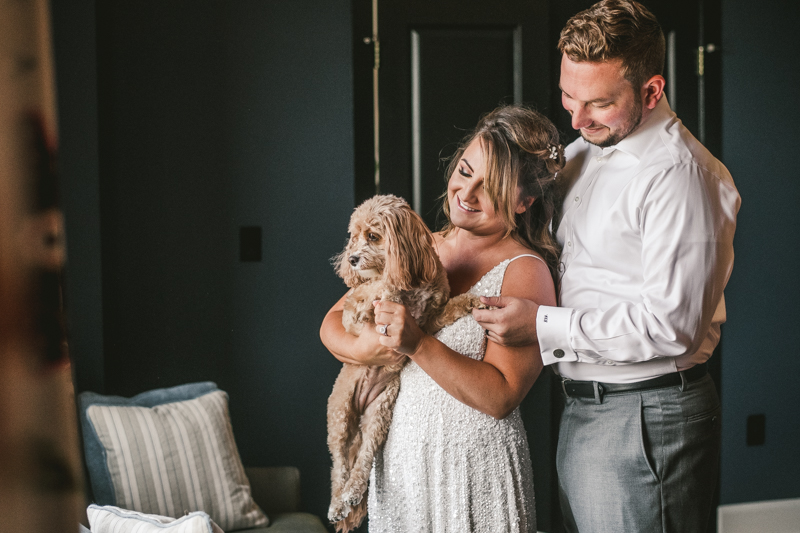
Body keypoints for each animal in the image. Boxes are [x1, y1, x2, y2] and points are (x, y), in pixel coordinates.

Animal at [326, 195, 478, 532]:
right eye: (353, 236)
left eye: (372, 236)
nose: (352, 259)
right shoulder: (354, 311)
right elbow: (371, 295)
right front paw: (384, 290)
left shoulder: (430, 321)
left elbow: (449, 308)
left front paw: (472, 302)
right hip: (340, 414)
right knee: (339, 465)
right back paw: (338, 503)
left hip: (379, 414)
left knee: (363, 460)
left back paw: (353, 493)